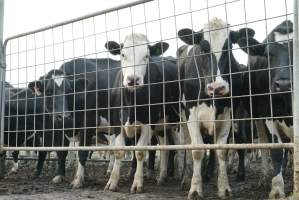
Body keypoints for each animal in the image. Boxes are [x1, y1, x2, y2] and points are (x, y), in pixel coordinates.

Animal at [104, 33, 182, 193]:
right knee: (164, 148)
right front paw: (112, 182)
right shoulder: (116, 123)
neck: (131, 102)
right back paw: (161, 177)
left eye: (146, 56)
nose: (133, 79)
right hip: (161, 126)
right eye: (122, 54)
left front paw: (137, 183)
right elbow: (119, 151)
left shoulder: (148, 124)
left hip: (177, 121)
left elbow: (140, 152)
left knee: (180, 148)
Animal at [178, 18, 255, 199]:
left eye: (228, 48)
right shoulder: (191, 114)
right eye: (203, 49)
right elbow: (197, 150)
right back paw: (187, 179)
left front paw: (224, 187)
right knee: (188, 145)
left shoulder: (227, 115)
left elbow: (221, 151)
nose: (217, 87)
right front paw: (195, 189)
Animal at [238, 19, 294, 198]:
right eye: (268, 55)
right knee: (264, 144)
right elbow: (276, 151)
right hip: (257, 117)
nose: (283, 84)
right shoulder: (268, 115)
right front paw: (276, 189)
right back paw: (264, 177)